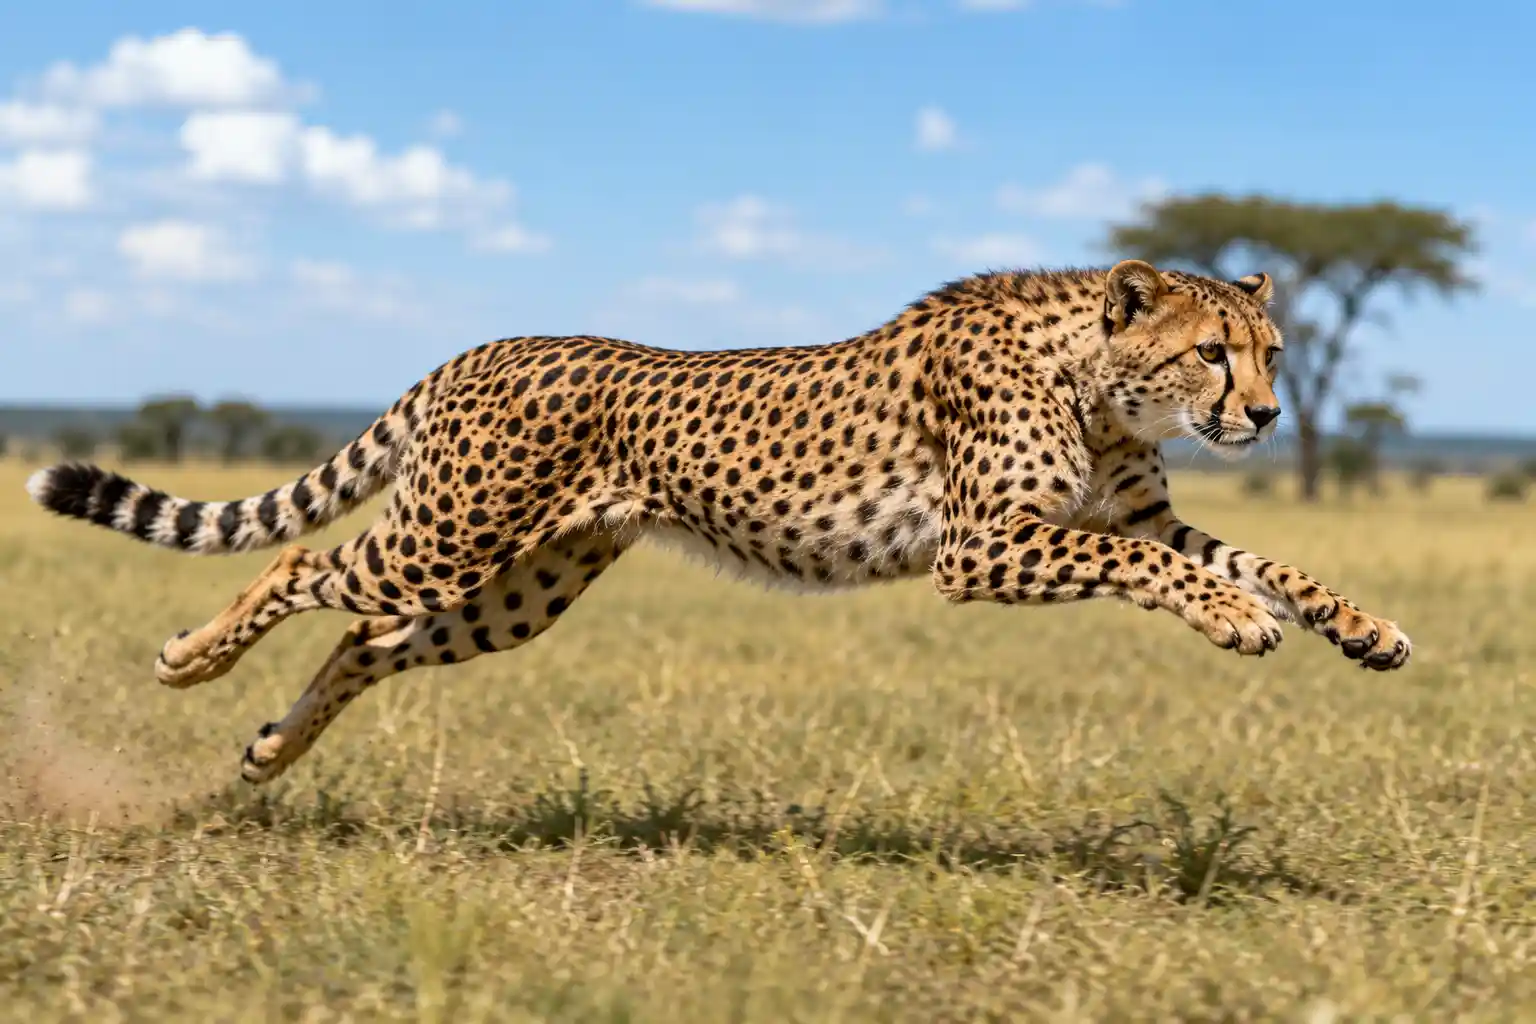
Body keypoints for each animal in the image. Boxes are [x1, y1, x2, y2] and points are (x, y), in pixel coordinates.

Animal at [26, 259, 1412, 785]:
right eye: (1210, 353)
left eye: (1272, 351)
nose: (1267, 414)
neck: (1095, 374)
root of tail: (486, 344)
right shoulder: (987, 547)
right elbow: (1154, 566)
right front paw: (1235, 621)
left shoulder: (1128, 517)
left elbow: (1263, 556)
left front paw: (1367, 629)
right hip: (450, 535)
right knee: (310, 560)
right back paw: (189, 661)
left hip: (518, 588)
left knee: (366, 638)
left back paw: (271, 749)